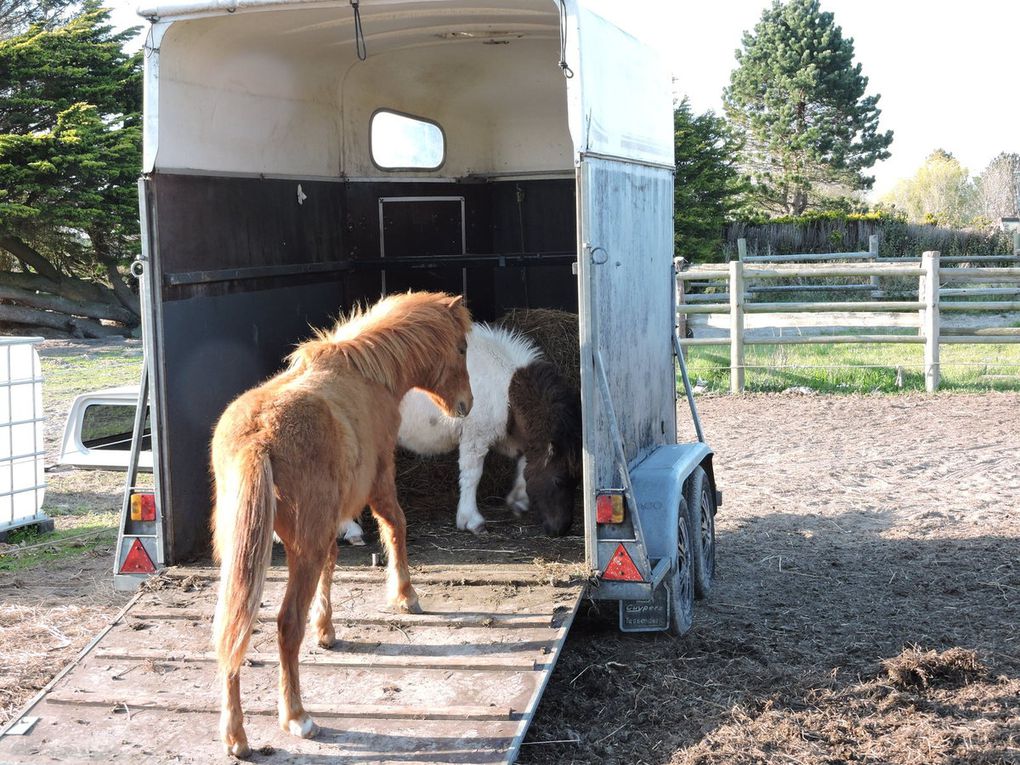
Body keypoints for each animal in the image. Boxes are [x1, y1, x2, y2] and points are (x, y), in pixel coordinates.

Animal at [213, 289, 475, 758]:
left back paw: (236, 736)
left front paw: (327, 631)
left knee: (231, 627)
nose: (466, 405)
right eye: (461, 347)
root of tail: (259, 435)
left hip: (243, 556)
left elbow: (332, 566)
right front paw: (406, 596)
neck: (366, 374)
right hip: (300, 548)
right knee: (285, 624)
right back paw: (297, 717)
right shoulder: (380, 479)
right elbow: (395, 526)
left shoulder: (328, 525)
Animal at [344, 324, 579, 538]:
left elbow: (523, 463)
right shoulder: (476, 436)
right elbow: (472, 475)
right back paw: (350, 529)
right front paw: (471, 520)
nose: (561, 529)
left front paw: (518, 499)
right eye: (559, 480)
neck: (504, 387)